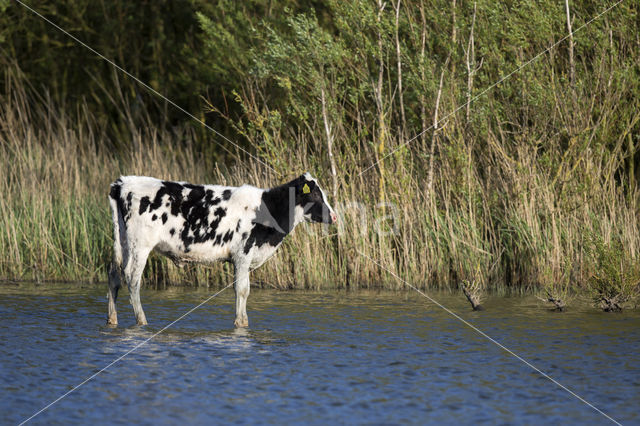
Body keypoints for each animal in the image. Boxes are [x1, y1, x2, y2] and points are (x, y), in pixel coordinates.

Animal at [106, 171, 336, 328]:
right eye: (316, 194)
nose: (334, 216)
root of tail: (123, 182)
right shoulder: (242, 253)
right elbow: (242, 289)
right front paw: (241, 324)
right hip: (140, 244)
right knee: (132, 278)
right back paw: (142, 321)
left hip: (123, 241)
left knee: (114, 274)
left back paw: (112, 319)